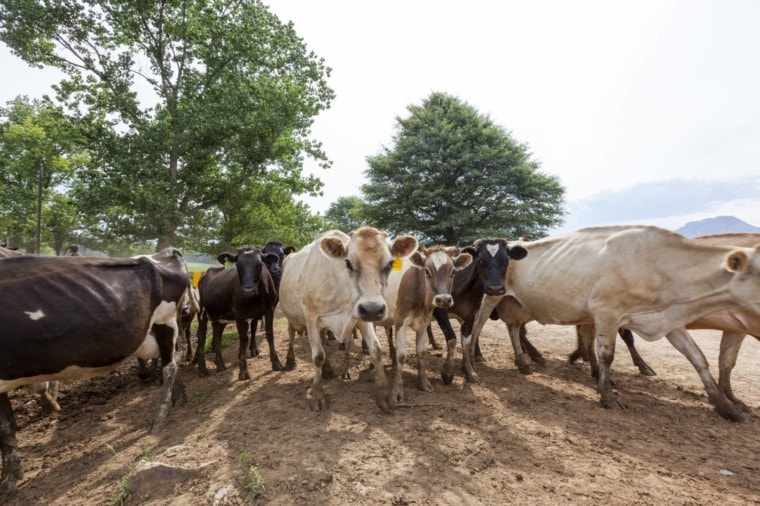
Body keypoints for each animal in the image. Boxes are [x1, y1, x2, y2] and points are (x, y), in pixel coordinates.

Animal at [0, 249, 190, 498]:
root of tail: (165, 253)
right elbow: (6, 427)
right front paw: (11, 477)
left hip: (165, 320)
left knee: (169, 367)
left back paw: (159, 420)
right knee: (174, 359)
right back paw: (180, 399)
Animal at [280, 227, 418, 414]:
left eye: (390, 264)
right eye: (348, 263)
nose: (373, 309)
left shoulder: (362, 316)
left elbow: (376, 350)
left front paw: (383, 395)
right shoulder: (311, 318)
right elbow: (317, 356)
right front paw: (317, 395)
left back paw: (327, 370)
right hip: (292, 317)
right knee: (292, 335)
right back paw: (290, 361)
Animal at [388, 243, 472, 402]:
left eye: (453, 271)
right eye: (426, 271)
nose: (443, 300)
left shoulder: (423, 322)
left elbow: (421, 352)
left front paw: (423, 383)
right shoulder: (400, 321)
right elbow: (401, 355)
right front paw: (397, 391)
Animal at [466, 227, 760, 422]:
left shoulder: (667, 319)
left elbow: (698, 357)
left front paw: (726, 405)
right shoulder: (606, 312)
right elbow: (606, 355)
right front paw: (607, 395)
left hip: (519, 304)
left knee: (515, 328)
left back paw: (523, 361)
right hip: (494, 296)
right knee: (478, 326)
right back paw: (474, 361)